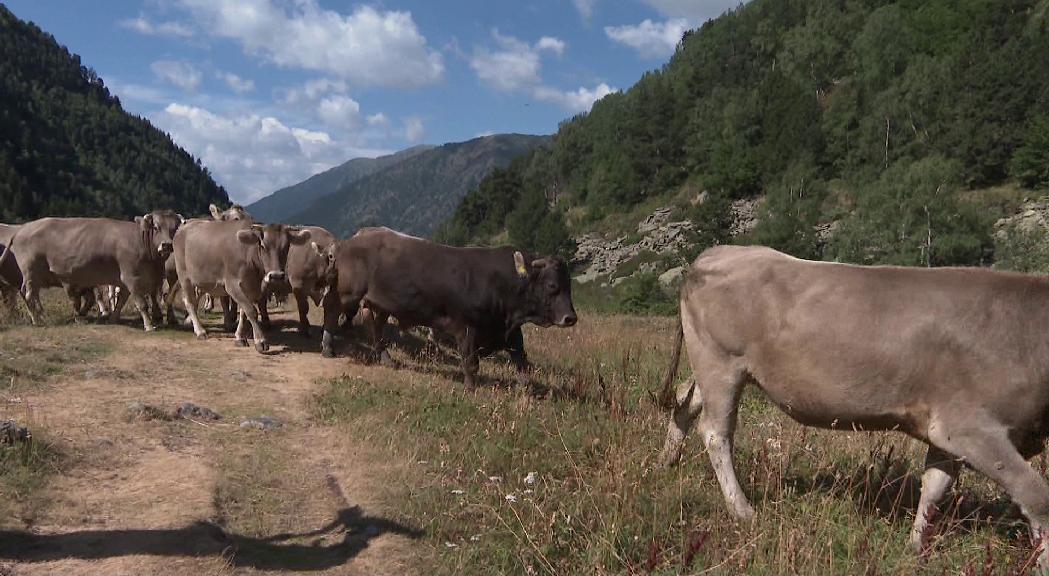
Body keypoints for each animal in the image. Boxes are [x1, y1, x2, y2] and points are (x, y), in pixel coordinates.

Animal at [3, 210, 180, 329]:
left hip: (34, 277)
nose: (167, 245)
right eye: (156, 227)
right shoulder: (132, 279)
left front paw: (113, 318)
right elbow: (142, 304)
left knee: (30, 294)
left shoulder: (129, 282)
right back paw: (38, 319)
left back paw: (39, 317)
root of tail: (21, 229)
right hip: (31, 273)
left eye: (174, 229)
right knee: (29, 295)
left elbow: (121, 301)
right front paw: (149, 325)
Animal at [172, 217, 308, 348]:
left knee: (195, 299)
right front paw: (260, 341)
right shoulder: (232, 285)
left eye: (286, 247)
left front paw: (239, 337)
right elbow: (251, 310)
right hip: (184, 276)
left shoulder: (251, 287)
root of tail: (184, 226)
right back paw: (200, 331)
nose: (276, 276)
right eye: (263, 246)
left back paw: (189, 322)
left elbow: (244, 313)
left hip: (201, 280)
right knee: (189, 302)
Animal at [318, 225, 583, 386]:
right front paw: (470, 388)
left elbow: (521, 359)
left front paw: (526, 387)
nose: (570, 318)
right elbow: (470, 362)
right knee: (332, 311)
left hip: (381, 304)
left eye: (569, 285)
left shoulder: (508, 330)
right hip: (347, 292)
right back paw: (328, 346)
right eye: (552, 285)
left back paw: (385, 358)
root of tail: (347, 242)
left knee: (376, 327)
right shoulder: (466, 327)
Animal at [658, 244, 1049, 566]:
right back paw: (743, 511)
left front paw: (914, 548)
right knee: (716, 432)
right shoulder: (970, 428)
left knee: (684, 403)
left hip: (710, 369)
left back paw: (666, 463)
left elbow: (934, 487)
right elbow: (1037, 497)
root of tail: (717, 253)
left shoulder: (944, 432)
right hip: (720, 364)